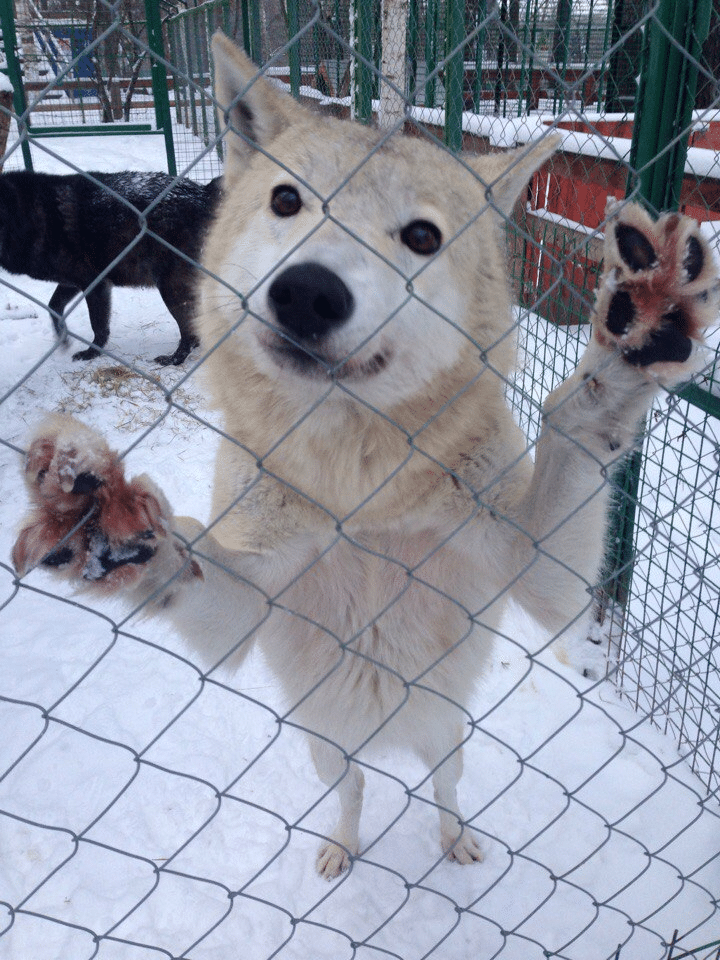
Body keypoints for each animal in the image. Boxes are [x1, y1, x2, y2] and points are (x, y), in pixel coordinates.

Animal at [0, 169, 221, 364]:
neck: (33, 217)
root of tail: (203, 191)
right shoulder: (73, 282)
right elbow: (53, 306)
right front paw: (63, 339)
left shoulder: (96, 285)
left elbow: (98, 326)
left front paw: (91, 353)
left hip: (170, 289)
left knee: (189, 330)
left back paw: (174, 359)